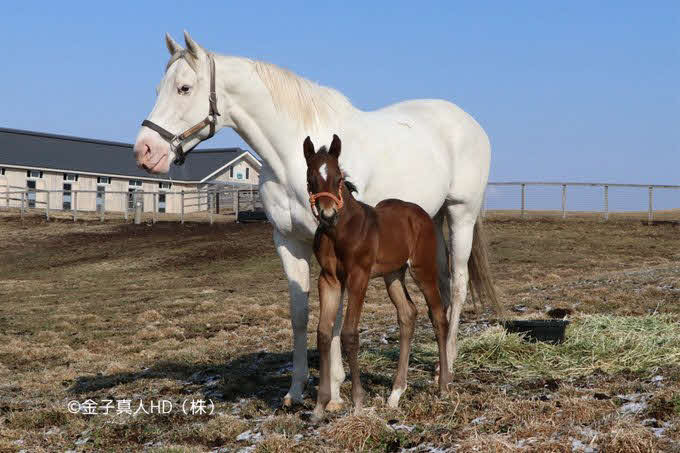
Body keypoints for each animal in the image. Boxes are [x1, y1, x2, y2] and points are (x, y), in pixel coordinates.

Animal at [304, 135, 451, 421]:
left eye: (339, 177)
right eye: (311, 178)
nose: (328, 215)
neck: (340, 231)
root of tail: (421, 215)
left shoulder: (358, 277)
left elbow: (349, 333)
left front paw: (358, 402)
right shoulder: (329, 279)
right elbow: (323, 334)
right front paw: (319, 405)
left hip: (423, 270)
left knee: (438, 316)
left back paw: (443, 386)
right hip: (393, 275)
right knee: (407, 314)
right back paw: (396, 393)